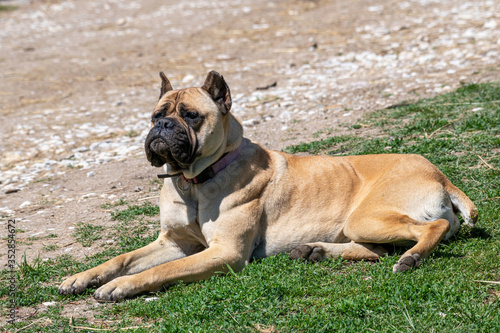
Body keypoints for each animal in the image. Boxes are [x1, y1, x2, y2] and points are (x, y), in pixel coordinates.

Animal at [58, 70, 476, 300]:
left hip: (367, 217)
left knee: (430, 229)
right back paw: (316, 251)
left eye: (191, 116)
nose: (161, 126)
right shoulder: (173, 243)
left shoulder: (223, 253)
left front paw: (122, 286)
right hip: (359, 225)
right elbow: (121, 259)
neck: (193, 180)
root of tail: (439, 174)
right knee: (375, 250)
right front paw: (83, 277)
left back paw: (412, 258)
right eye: (155, 115)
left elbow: (160, 271)